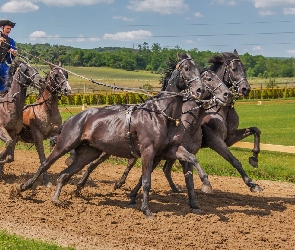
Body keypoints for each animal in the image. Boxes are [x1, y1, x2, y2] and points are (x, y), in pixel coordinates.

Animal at [19, 53, 207, 218]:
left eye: (199, 69)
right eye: (187, 68)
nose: (200, 90)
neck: (161, 114)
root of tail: (74, 118)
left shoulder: (169, 149)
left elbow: (192, 158)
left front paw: (205, 183)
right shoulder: (148, 151)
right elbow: (146, 181)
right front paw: (146, 210)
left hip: (88, 152)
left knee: (65, 174)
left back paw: (56, 199)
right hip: (65, 144)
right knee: (45, 164)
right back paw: (25, 186)